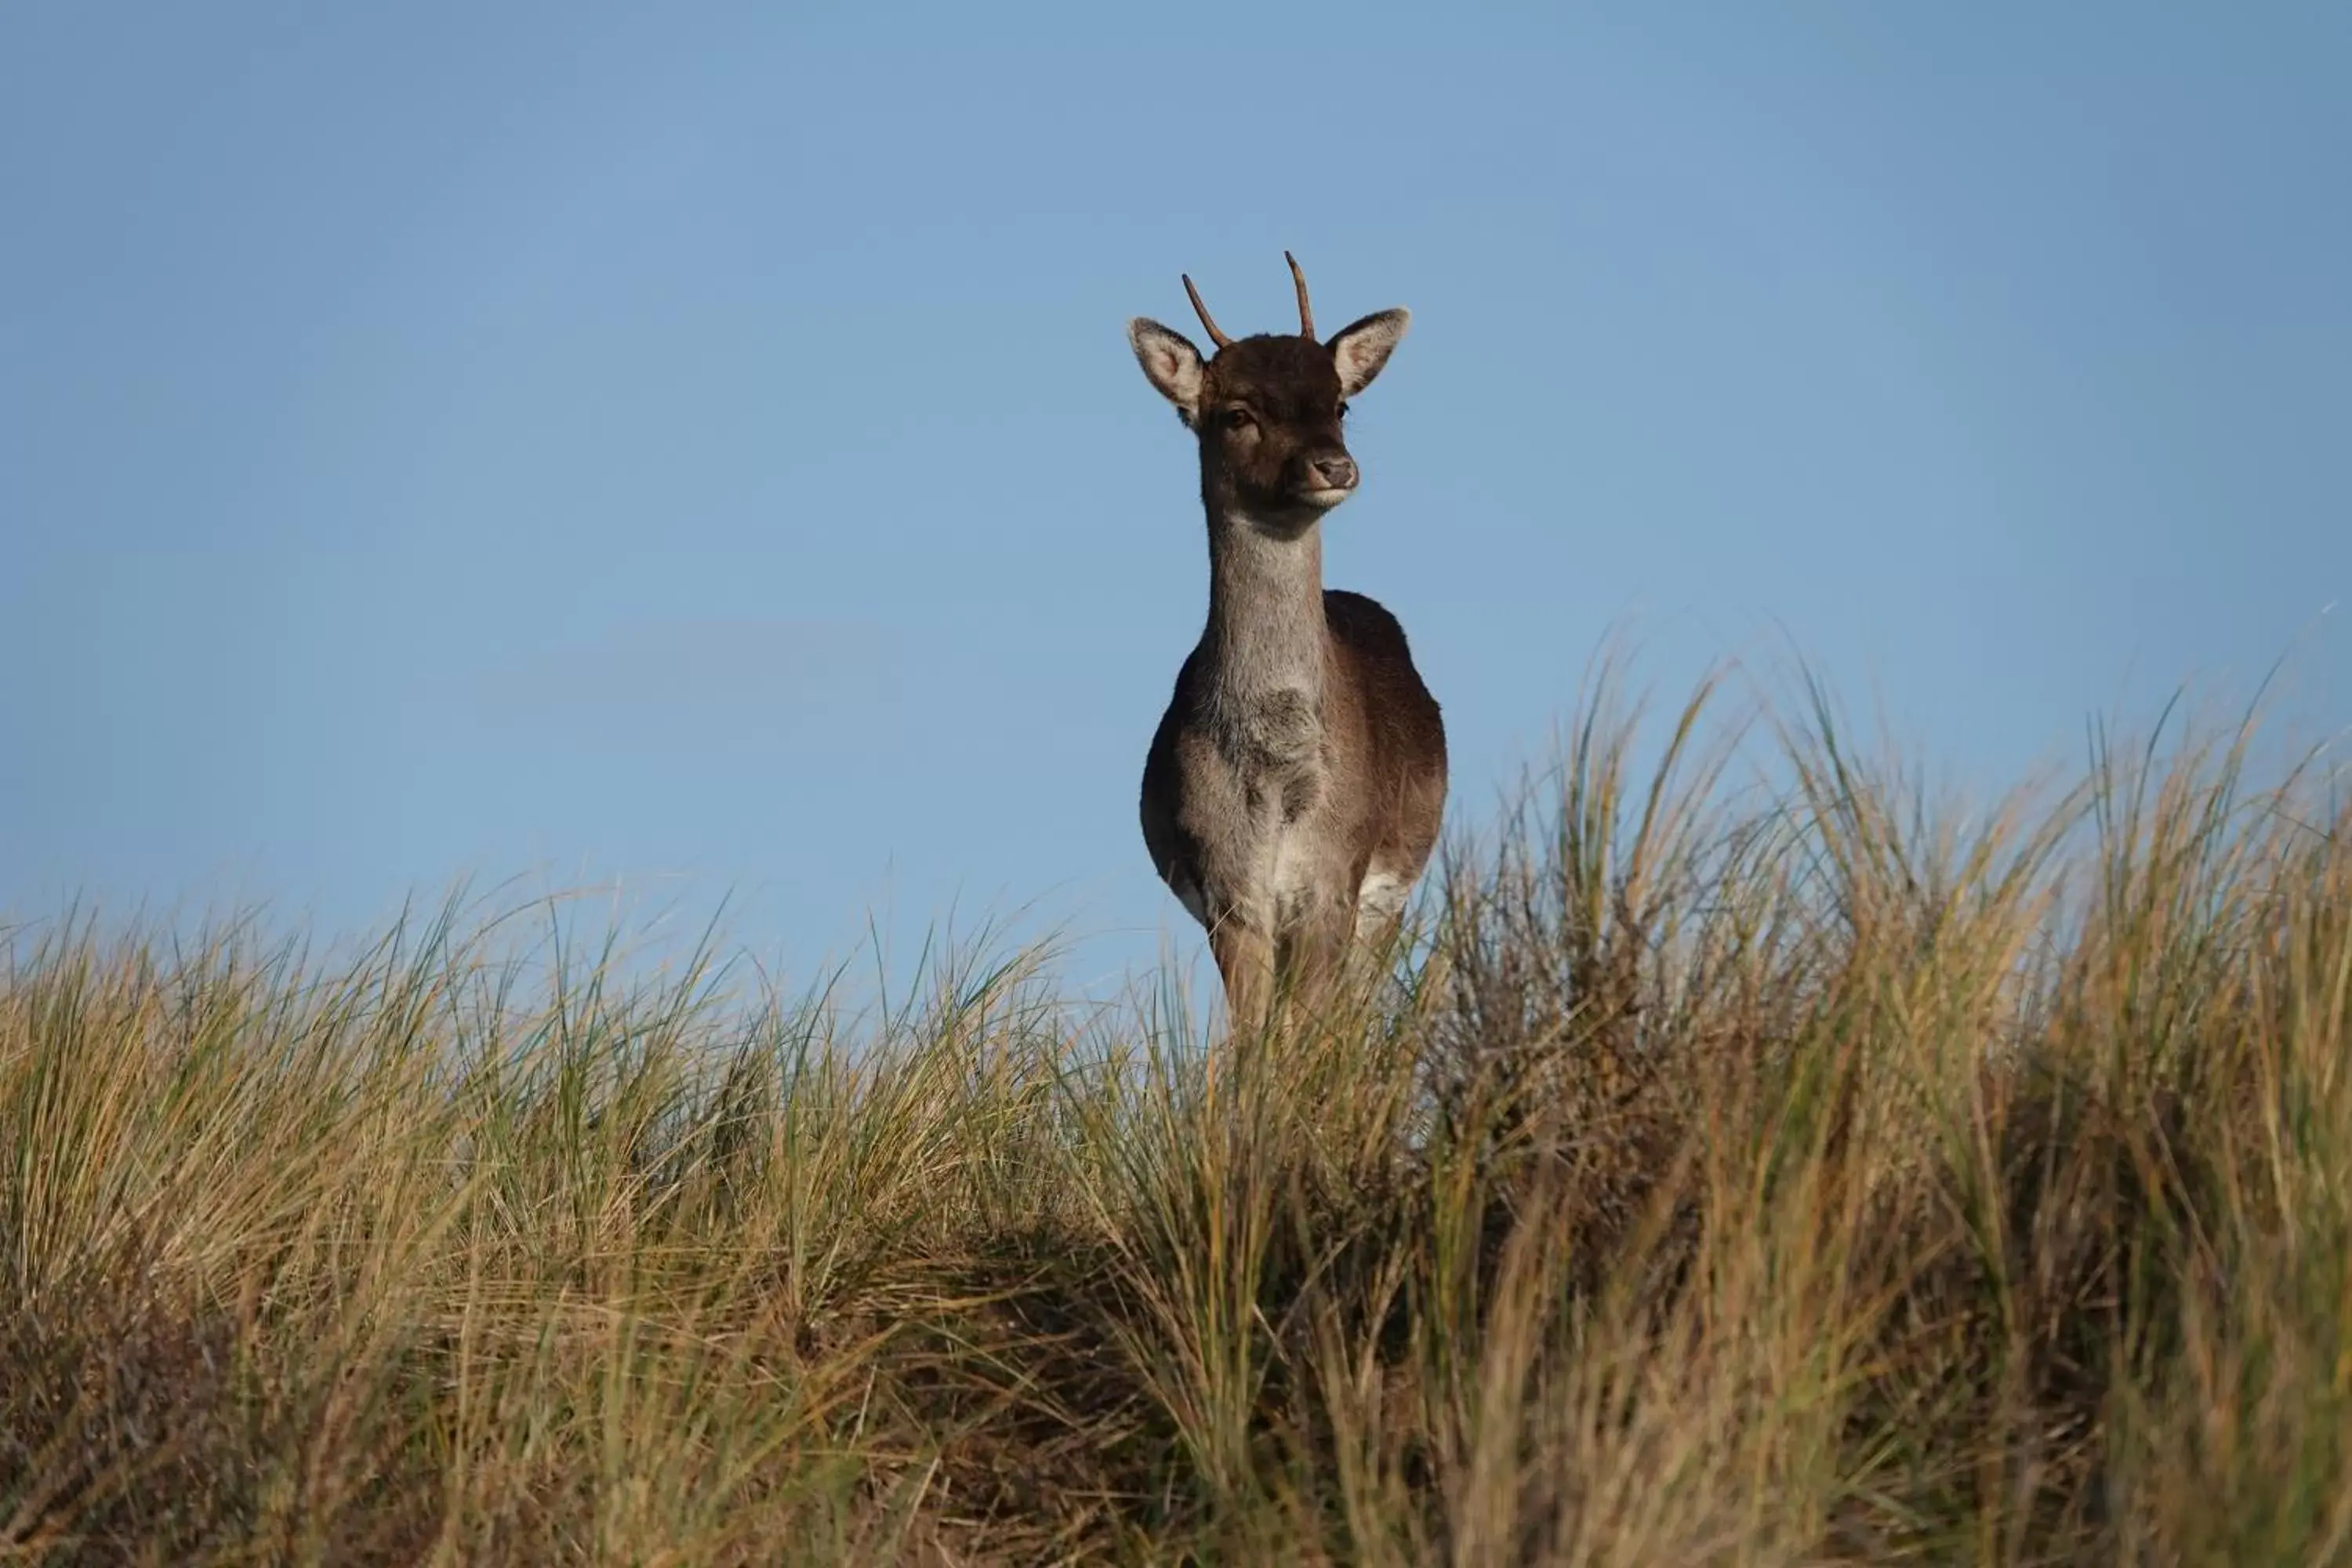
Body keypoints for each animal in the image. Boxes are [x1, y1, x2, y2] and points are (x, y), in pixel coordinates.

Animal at [1124, 251, 1439, 1034]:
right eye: (1239, 412)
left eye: (1339, 403)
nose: (1335, 466)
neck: (1276, 779)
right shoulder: (1229, 889)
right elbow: (1256, 1042)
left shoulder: (1335, 877)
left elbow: (1305, 1039)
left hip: (1391, 896)